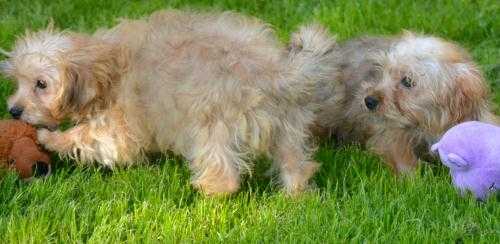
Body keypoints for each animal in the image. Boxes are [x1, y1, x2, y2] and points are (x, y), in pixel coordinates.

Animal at [0, 10, 336, 195]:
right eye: (18, 82)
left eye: (41, 84)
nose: (13, 110)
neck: (102, 64)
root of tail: (275, 72)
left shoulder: (118, 125)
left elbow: (89, 136)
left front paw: (50, 138)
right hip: (288, 125)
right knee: (296, 162)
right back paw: (296, 195)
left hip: (212, 125)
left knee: (223, 172)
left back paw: (209, 195)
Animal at [312, 31, 496, 173]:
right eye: (383, 72)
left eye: (407, 81)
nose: (368, 100)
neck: (428, 123)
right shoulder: (390, 133)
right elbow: (402, 158)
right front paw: (414, 180)